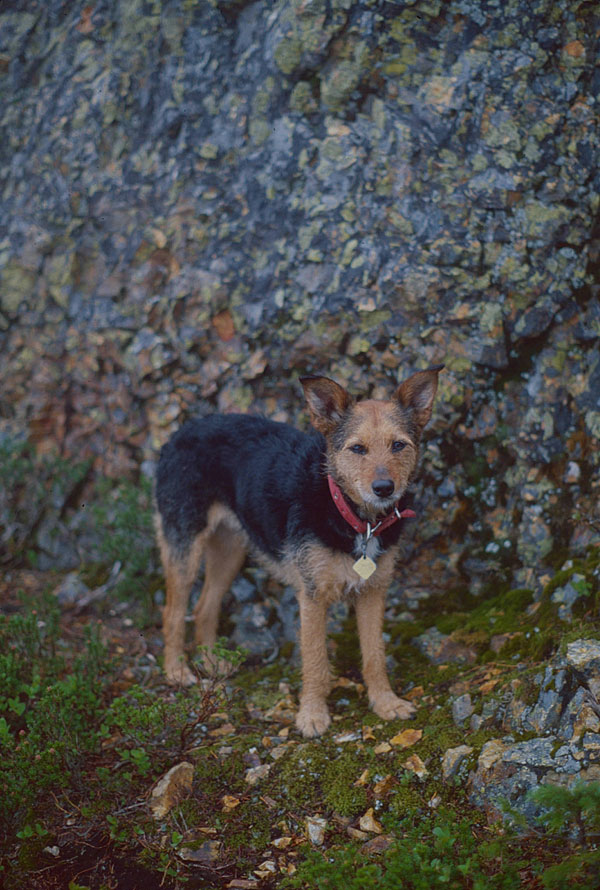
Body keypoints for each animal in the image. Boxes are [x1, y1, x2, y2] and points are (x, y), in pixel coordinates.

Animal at [155, 366, 442, 736]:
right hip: (185, 546)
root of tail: (179, 432)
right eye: (358, 448)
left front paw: (386, 703)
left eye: (398, 445)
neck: (350, 515)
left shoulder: (373, 592)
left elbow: (375, 654)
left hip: (230, 550)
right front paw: (312, 716)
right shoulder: (312, 595)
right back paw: (177, 671)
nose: (384, 488)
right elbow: (316, 660)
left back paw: (211, 663)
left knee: (205, 607)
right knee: (173, 611)